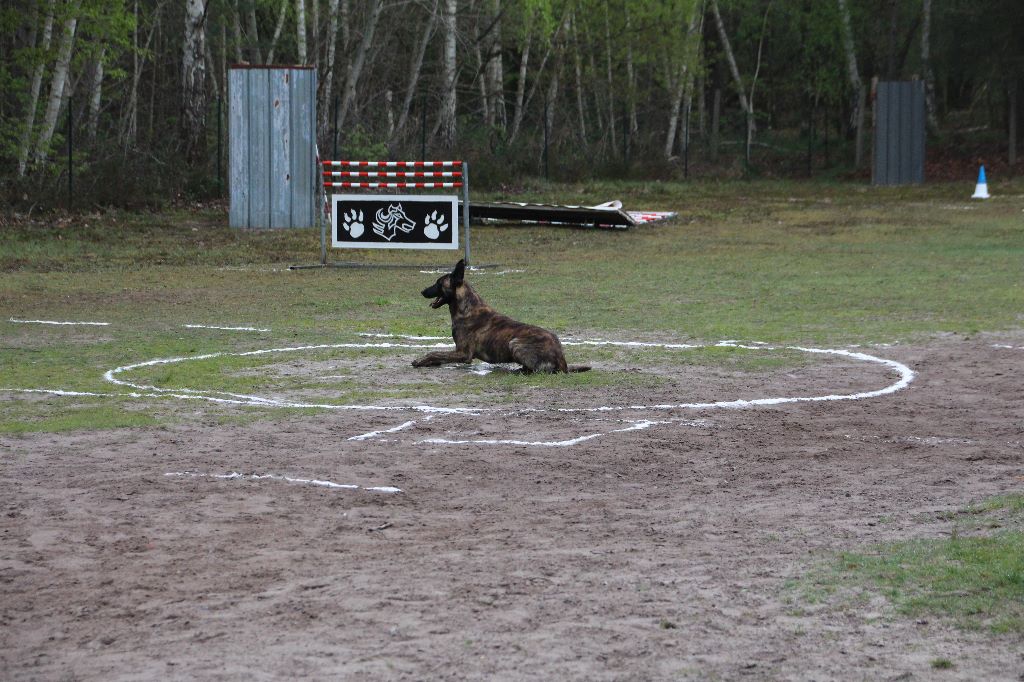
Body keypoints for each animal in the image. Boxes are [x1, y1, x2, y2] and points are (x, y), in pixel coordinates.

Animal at [411, 258, 593, 372]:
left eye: (438, 283)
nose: (422, 291)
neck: (467, 308)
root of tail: (562, 360)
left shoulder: (463, 354)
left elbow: (434, 352)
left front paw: (420, 360)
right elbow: (437, 355)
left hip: (515, 343)